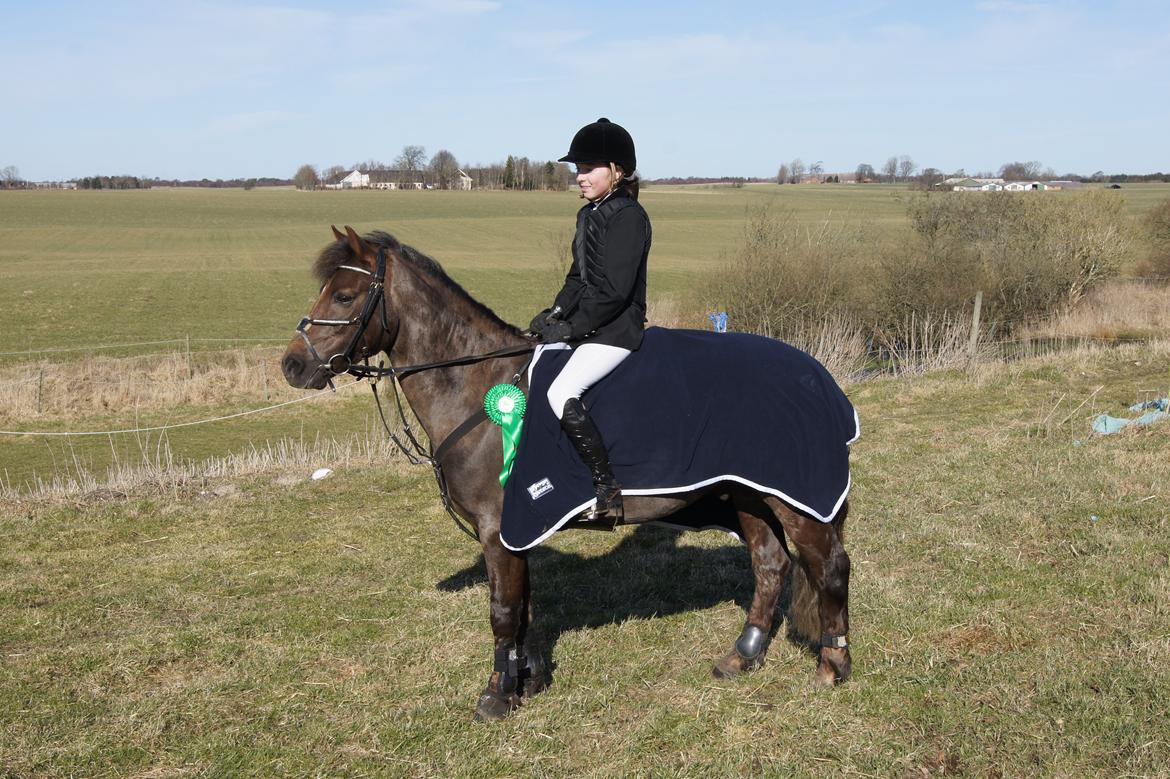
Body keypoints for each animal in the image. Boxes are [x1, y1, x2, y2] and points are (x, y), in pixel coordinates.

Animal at [281, 225, 853, 721]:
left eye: (345, 296)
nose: (292, 366)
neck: (476, 386)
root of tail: (815, 375)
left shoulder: (497, 528)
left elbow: (503, 611)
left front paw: (496, 696)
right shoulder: (516, 529)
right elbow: (526, 607)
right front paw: (527, 680)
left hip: (795, 501)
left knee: (828, 569)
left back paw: (833, 665)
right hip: (749, 495)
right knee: (770, 565)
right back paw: (743, 656)